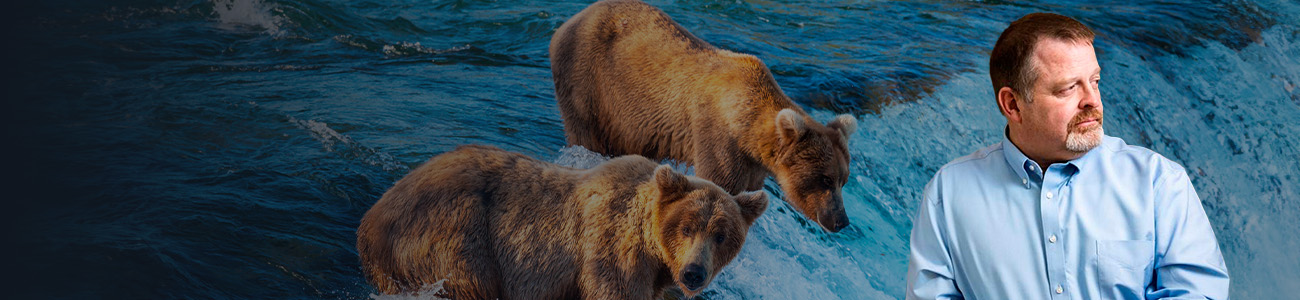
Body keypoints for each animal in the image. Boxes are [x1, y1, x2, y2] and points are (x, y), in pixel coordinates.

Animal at [356, 144, 764, 297]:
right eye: (686, 227)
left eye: (722, 235)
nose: (694, 273)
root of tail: (369, 220)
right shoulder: (611, 254)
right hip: (454, 236)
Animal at [553, 0, 857, 232]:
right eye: (825, 179)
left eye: (844, 180)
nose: (841, 220)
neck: (747, 127)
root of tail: (572, 19)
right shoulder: (719, 137)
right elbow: (720, 183)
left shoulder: (753, 164)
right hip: (590, 83)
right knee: (588, 133)